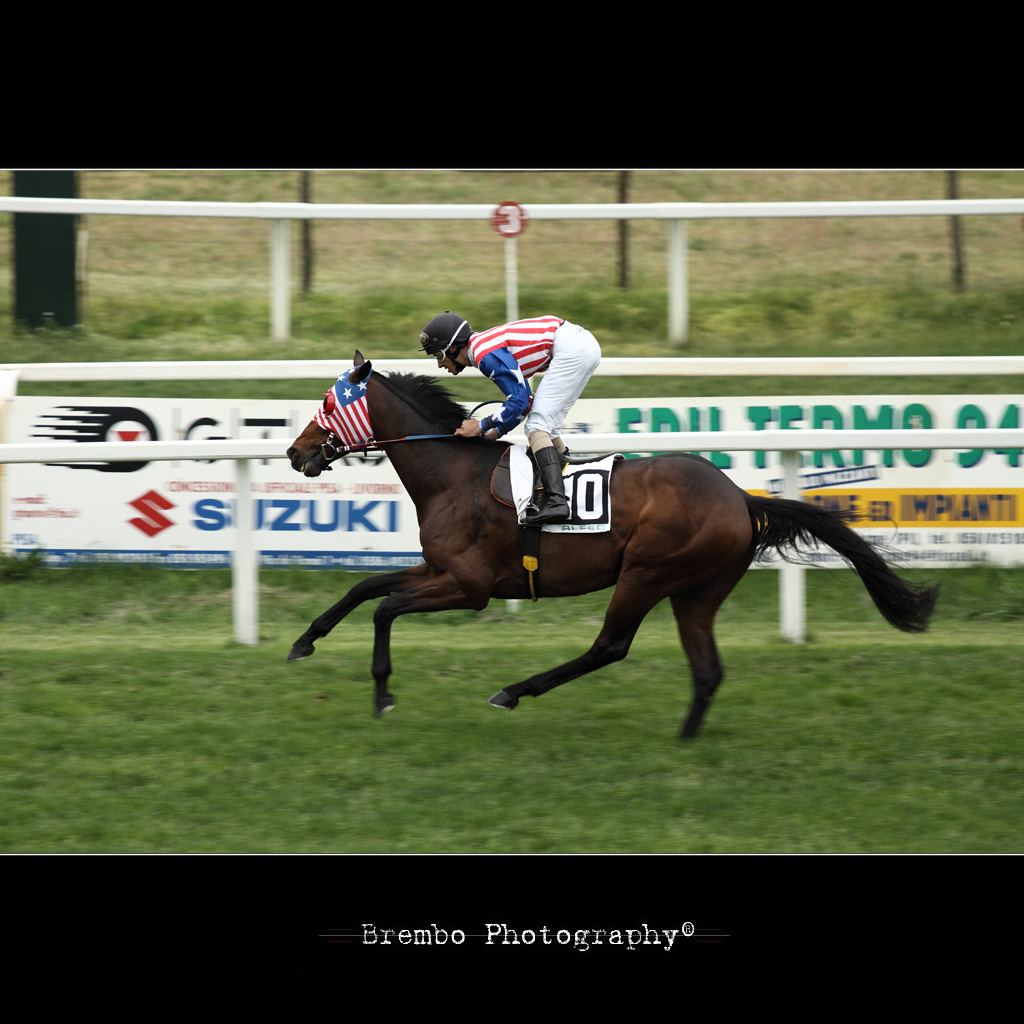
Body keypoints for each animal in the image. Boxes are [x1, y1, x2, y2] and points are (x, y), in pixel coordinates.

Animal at [285, 351, 939, 740]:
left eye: (327, 403)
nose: (295, 451)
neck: (453, 474)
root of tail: (740, 497)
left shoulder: (469, 587)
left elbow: (386, 608)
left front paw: (382, 693)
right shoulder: (437, 568)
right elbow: (365, 587)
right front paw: (304, 642)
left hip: (648, 572)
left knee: (610, 646)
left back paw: (514, 691)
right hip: (697, 590)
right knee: (706, 668)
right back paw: (685, 737)